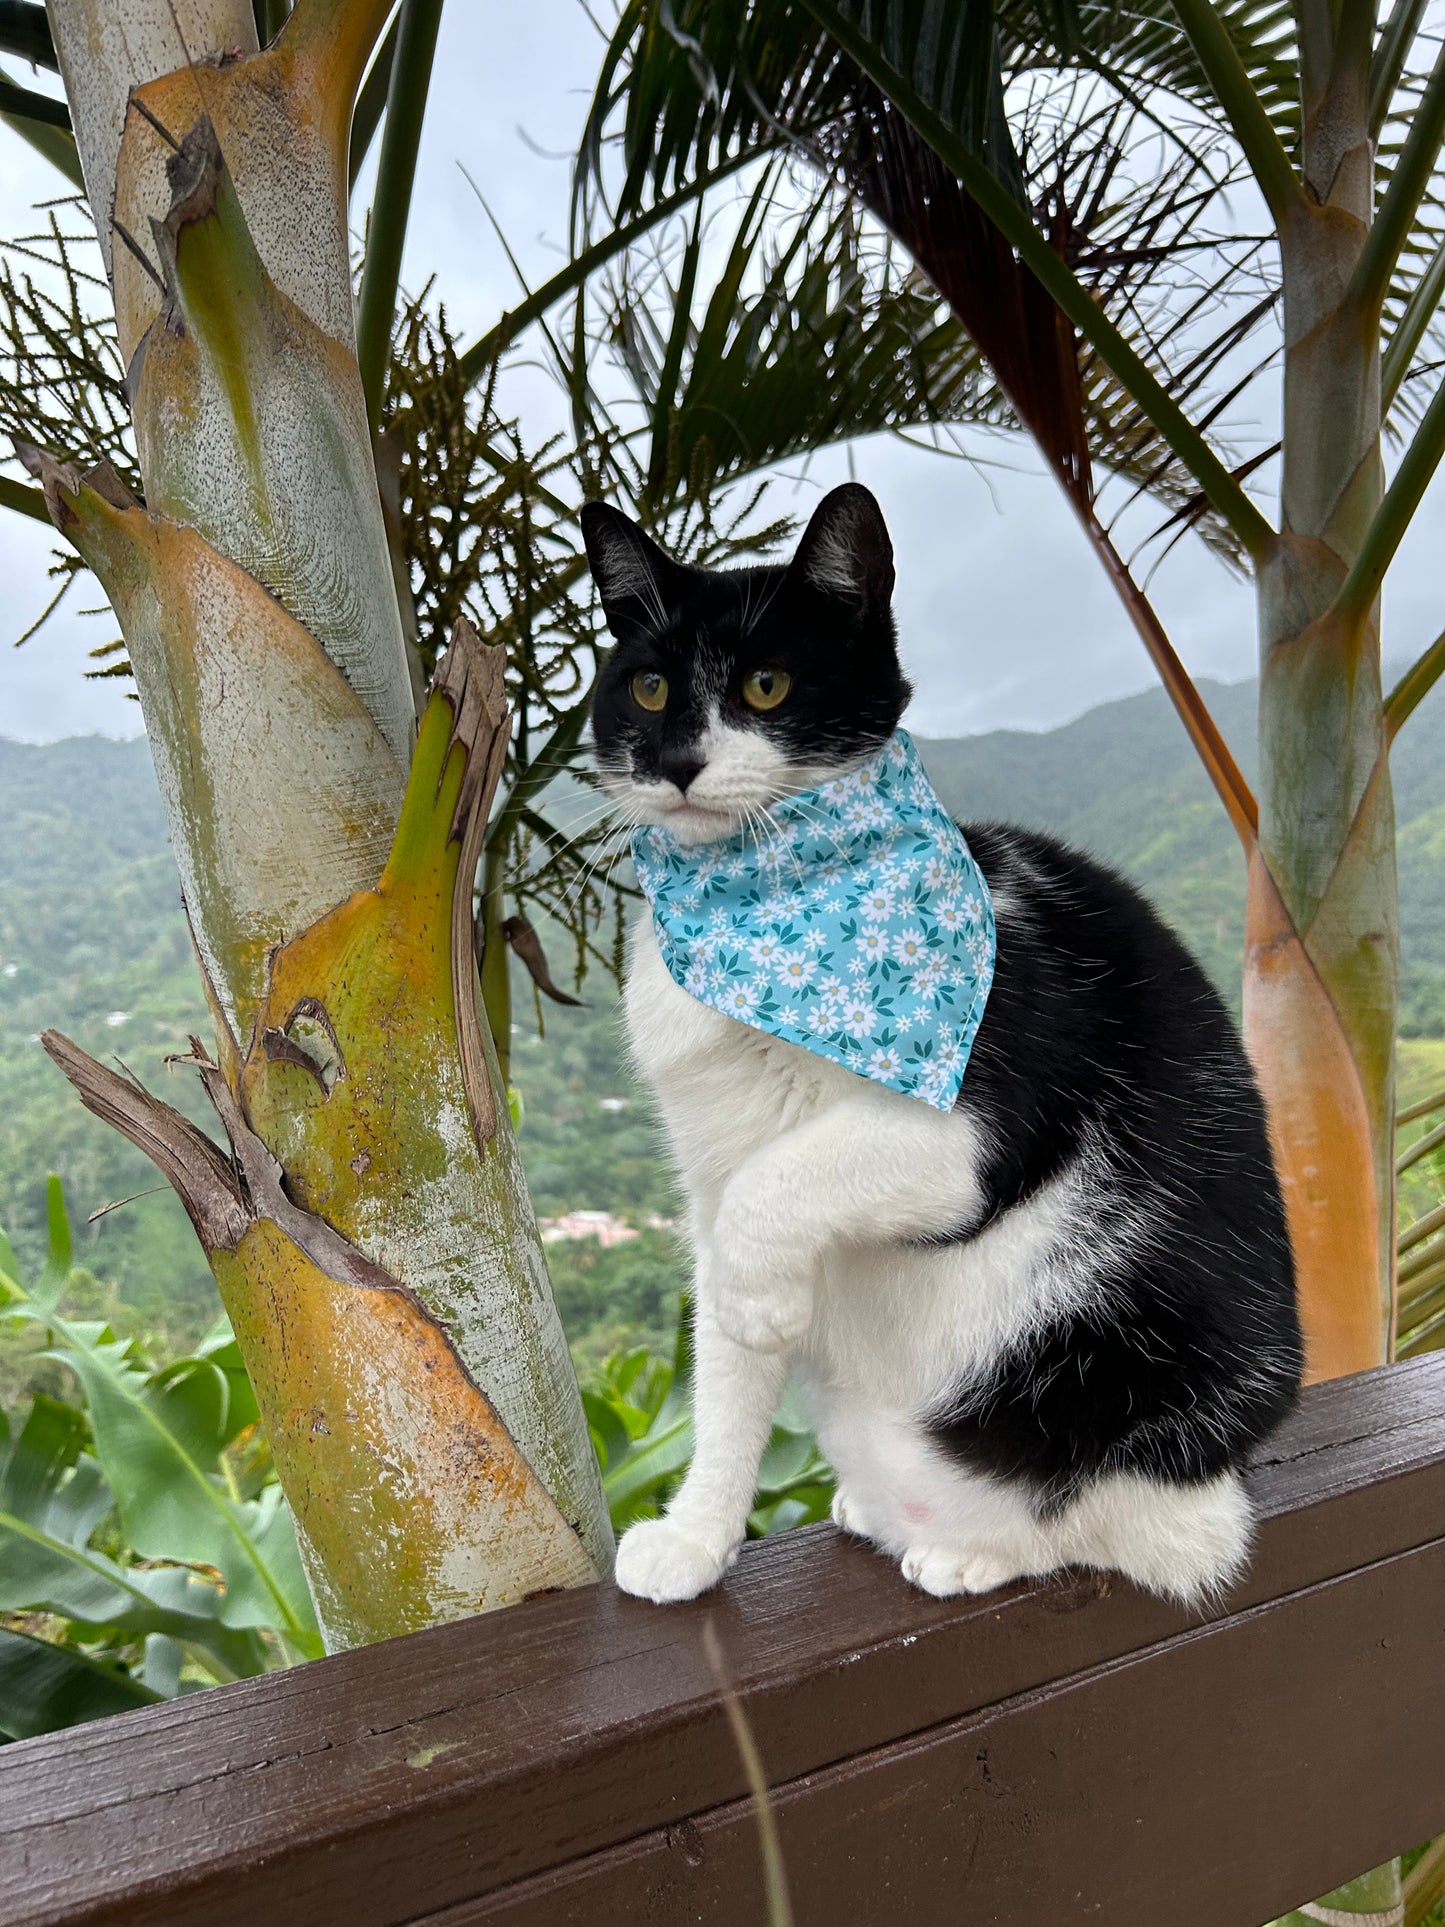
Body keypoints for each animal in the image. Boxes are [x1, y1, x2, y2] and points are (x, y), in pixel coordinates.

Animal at [581, 481, 1310, 1610]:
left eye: (765, 685)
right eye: (650, 688)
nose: (677, 762)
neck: (768, 910)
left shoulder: (970, 1134)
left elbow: (769, 1201)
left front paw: (760, 1304)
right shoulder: (706, 1168)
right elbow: (723, 1376)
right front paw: (698, 1537)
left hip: (1128, 1395)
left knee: (1129, 1527)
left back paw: (976, 1548)